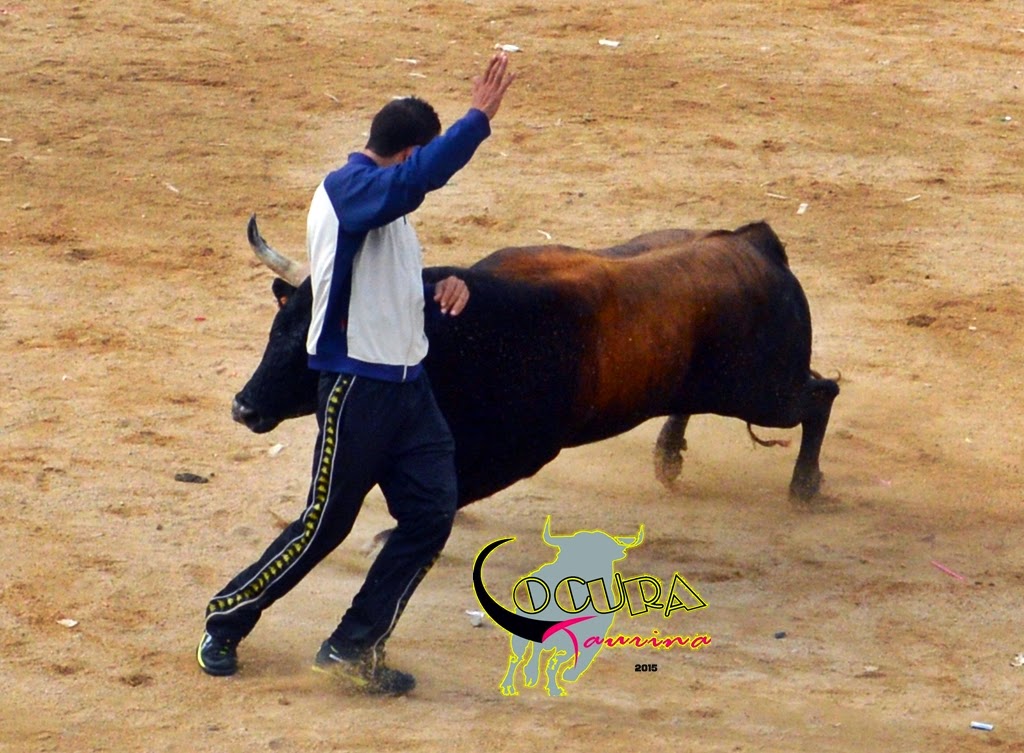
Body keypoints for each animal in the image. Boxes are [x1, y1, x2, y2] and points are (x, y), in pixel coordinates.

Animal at [233, 215, 839, 506]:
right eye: (277, 330)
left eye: (314, 352)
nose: (243, 408)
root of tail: (756, 243)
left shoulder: (524, 450)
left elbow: (455, 490)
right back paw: (668, 458)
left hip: (764, 392)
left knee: (820, 396)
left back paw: (804, 488)